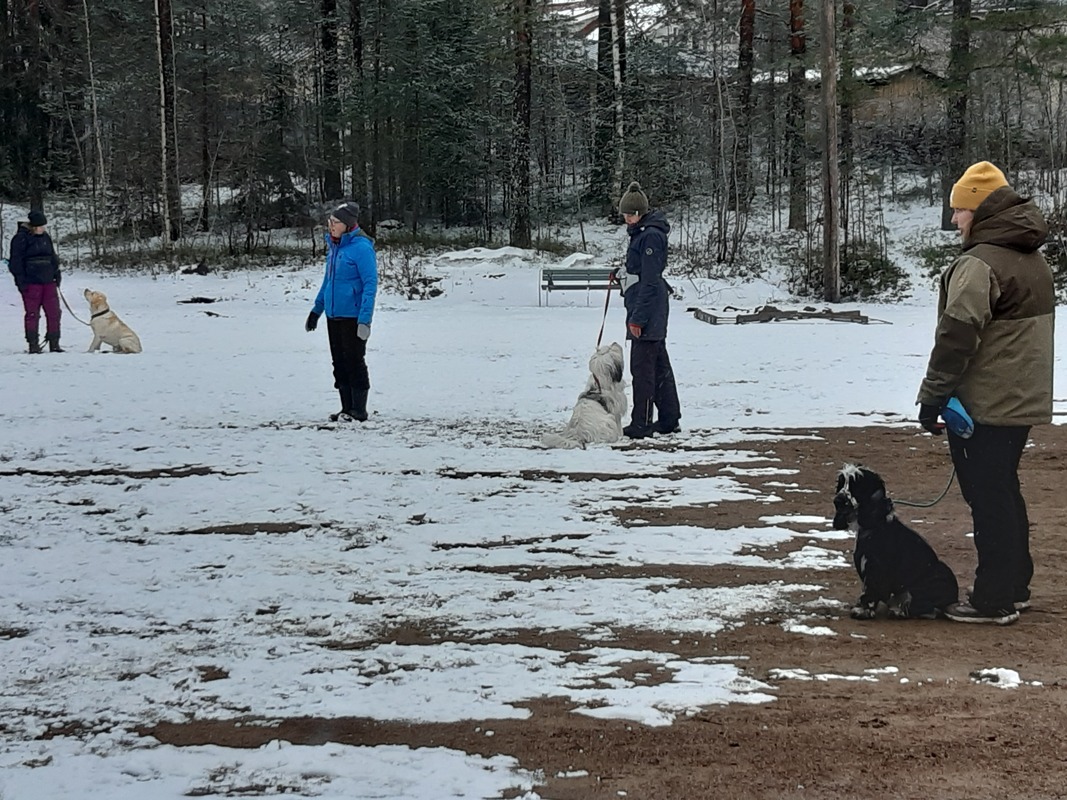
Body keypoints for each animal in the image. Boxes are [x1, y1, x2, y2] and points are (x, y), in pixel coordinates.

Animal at [832, 464, 958, 620]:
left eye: (856, 485)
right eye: (841, 484)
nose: (837, 500)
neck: (875, 524)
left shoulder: (875, 567)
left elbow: (870, 591)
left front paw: (863, 611)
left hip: (940, 572)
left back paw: (900, 611)